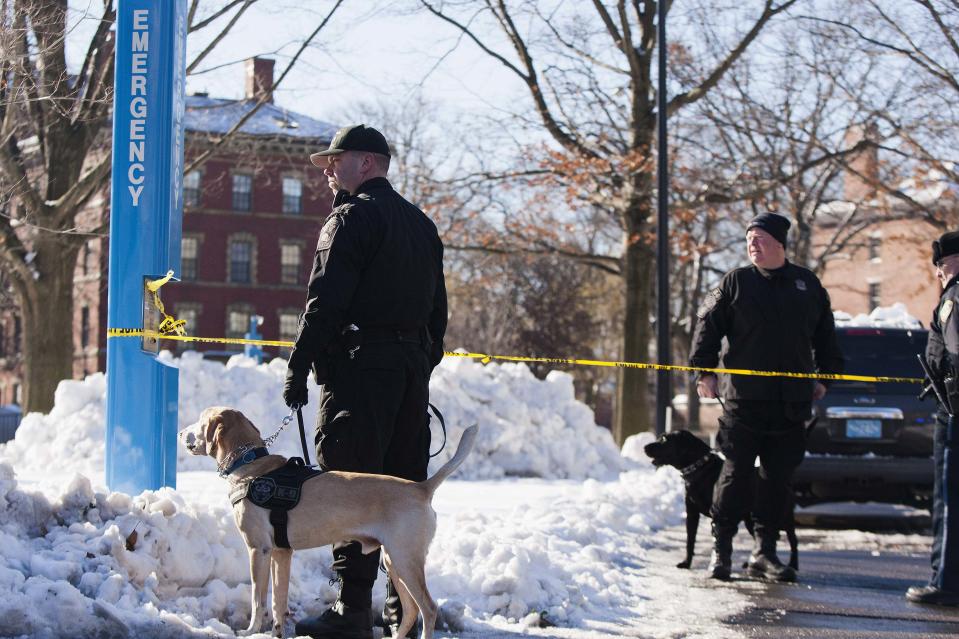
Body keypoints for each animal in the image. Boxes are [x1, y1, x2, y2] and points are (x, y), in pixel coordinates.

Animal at [644, 432, 804, 572]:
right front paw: (686, 563)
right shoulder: (692, 512)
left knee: (793, 539)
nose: (645, 447)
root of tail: (787, 482)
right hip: (751, 520)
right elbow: (690, 541)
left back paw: (792, 565)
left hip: (783, 517)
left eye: (664, 439)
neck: (699, 467)